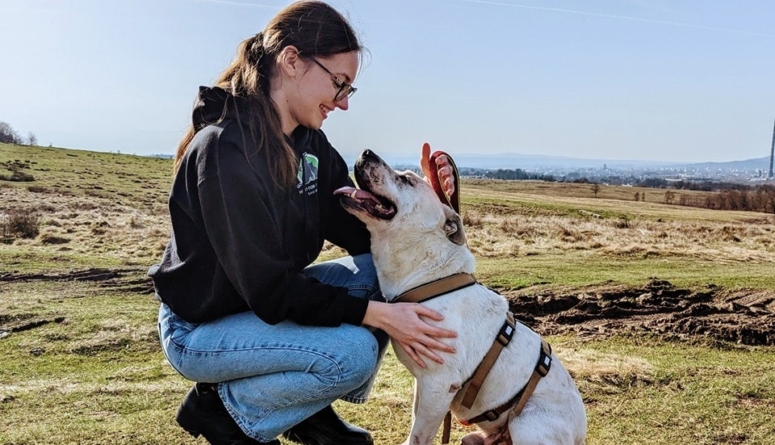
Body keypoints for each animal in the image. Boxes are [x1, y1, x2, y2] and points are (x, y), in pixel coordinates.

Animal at [336, 150, 584, 444]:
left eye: (407, 180)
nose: (366, 152)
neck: (428, 275)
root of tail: (581, 435)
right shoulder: (425, 386)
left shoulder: (439, 386)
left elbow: (419, 435)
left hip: (527, 423)